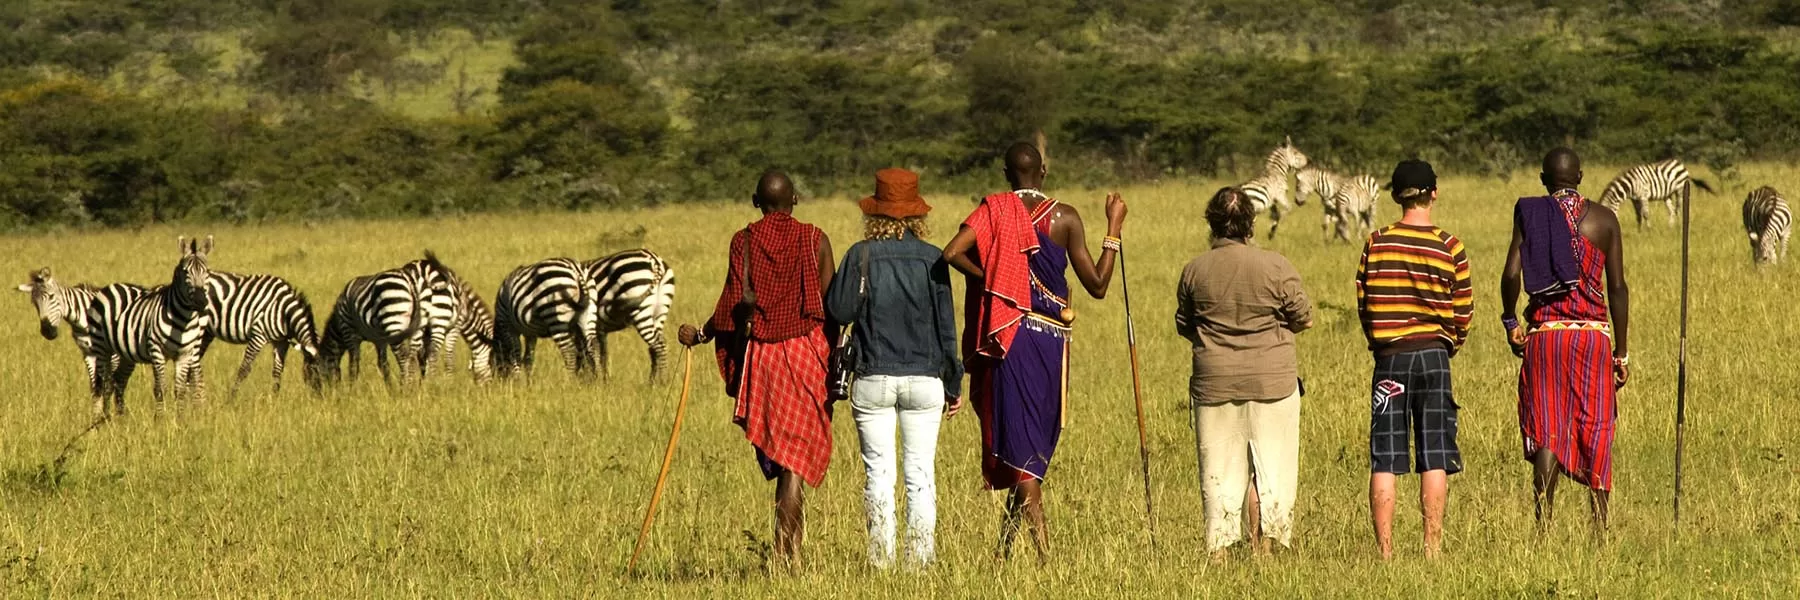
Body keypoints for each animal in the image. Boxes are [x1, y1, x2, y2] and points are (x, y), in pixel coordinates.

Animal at [15, 266, 154, 407]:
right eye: (34, 303)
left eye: (52, 296)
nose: (47, 332)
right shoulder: (88, 354)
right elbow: (95, 388)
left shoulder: (114, 356)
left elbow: (108, 386)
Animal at [85, 234, 216, 416]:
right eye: (185, 272)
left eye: (207, 272)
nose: (200, 301)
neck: (184, 318)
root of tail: (109, 287)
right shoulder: (156, 351)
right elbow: (160, 388)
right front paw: (160, 418)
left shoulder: (184, 354)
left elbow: (180, 390)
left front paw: (180, 418)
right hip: (101, 347)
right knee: (102, 384)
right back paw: (102, 418)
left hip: (125, 353)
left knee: (118, 381)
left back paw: (119, 417)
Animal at [583, 246, 676, 378]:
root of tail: (654, 259)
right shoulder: (600, 330)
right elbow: (602, 355)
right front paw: (603, 380)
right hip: (660, 312)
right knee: (656, 347)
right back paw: (653, 381)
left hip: (640, 308)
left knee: (658, 346)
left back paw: (662, 381)